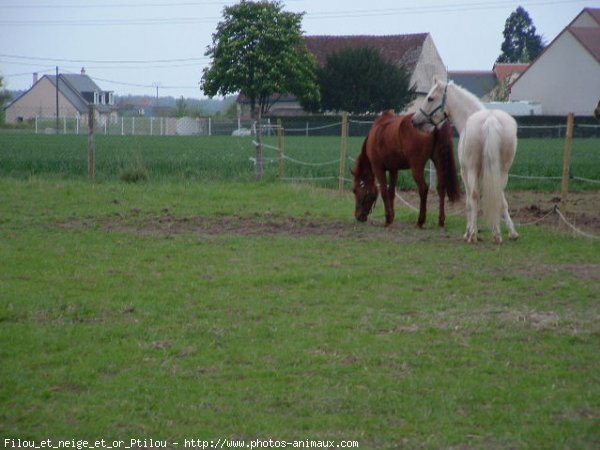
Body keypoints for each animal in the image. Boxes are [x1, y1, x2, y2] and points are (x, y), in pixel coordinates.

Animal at [412, 79, 520, 244]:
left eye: (430, 98)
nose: (414, 120)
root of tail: (490, 120)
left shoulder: (465, 172)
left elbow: (470, 200)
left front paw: (469, 232)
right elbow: (497, 199)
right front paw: (508, 233)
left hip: (472, 170)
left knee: (474, 196)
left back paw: (473, 236)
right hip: (502, 171)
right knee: (500, 196)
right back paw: (499, 234)